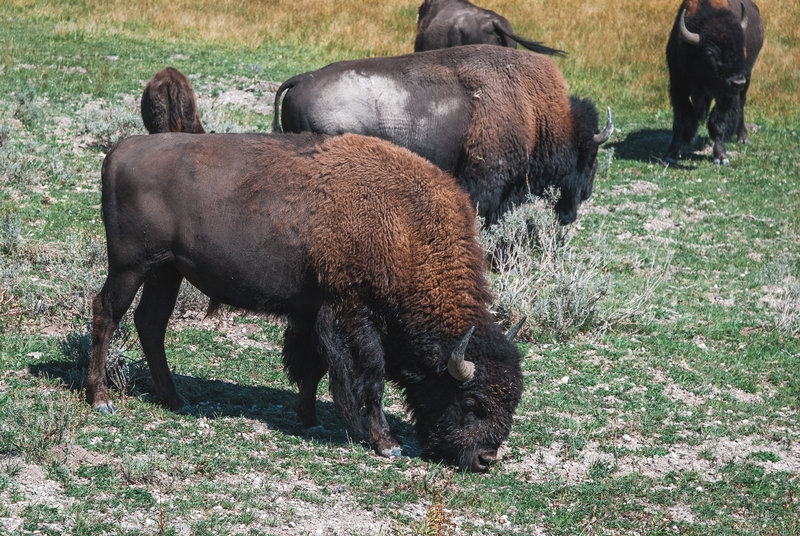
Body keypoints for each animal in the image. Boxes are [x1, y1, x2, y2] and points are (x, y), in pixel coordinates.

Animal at [87, 132, 524, 472]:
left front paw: (310, 419)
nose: (485, 459)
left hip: (166, 270)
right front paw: (387, 444)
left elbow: (311, 365)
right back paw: (101, 400)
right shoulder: (354, 312)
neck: (408, 228)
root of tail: (120, 150)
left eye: (512, 400)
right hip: (130, 266)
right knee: (107, 314)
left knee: (150, 323)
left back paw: (177, 400)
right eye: (471, 402)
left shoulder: (313, 311)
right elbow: (372, 376)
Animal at [664, 0, 764, 165]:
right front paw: (671, 153)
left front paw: (721, 157)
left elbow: (718, 123)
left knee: (742, 104)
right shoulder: (678, 87)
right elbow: (680, 121)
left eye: (741, 47)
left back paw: (743, 138)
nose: (737, 82)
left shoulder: (726, 96)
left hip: (747, 78)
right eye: (710, 53)